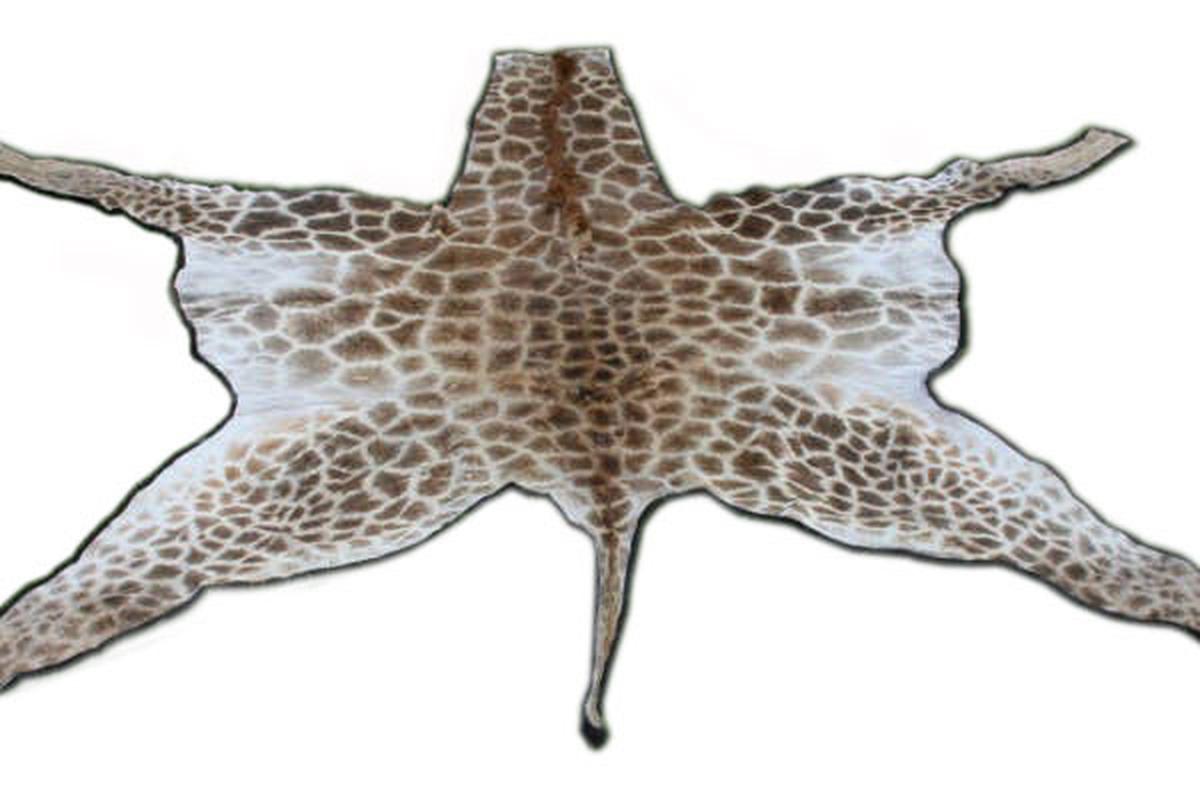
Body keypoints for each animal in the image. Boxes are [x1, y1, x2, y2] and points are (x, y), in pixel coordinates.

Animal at [0, 47, 1195, 747]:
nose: (555, 48)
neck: (567, 196)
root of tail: (609, 475)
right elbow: (125, 181)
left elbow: (973, 172)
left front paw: (1084, 145)